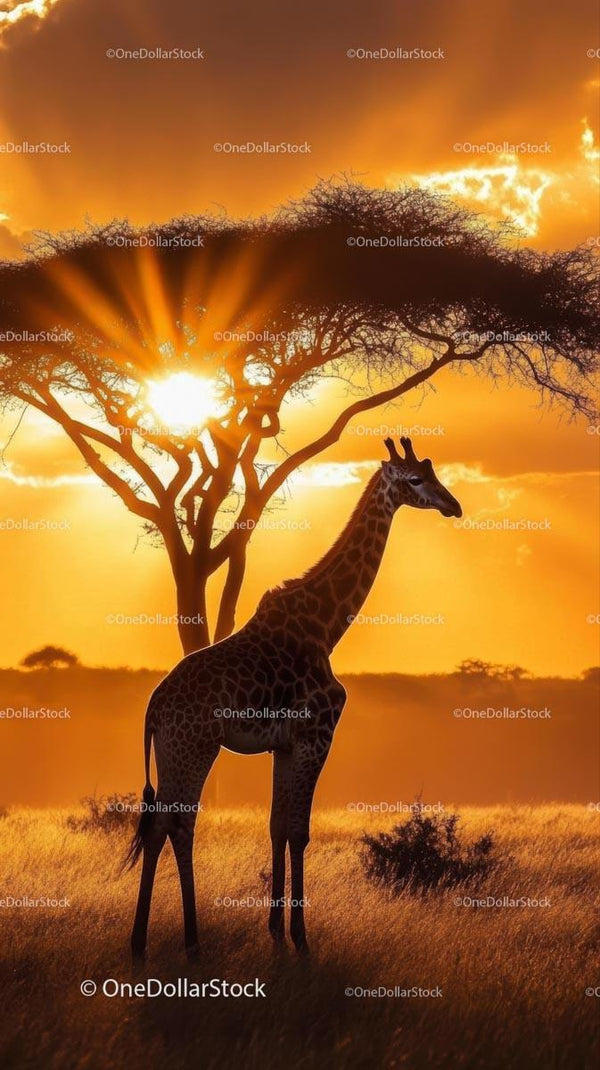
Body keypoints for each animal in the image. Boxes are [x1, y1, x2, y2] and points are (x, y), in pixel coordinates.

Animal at [127, 436, 462, 960]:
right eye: (414, 479)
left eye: (435, 472)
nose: (454, 506)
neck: (327, 625)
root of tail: (153, 710)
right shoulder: (316, 736)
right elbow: (300, 832)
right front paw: (302, 939)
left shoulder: (284, 745)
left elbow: (278, 827)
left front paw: (275, 932)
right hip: (194, 748)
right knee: (175, 826)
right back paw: (187, 940)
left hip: (173, 751)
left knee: (158, 826)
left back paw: (144, 942)